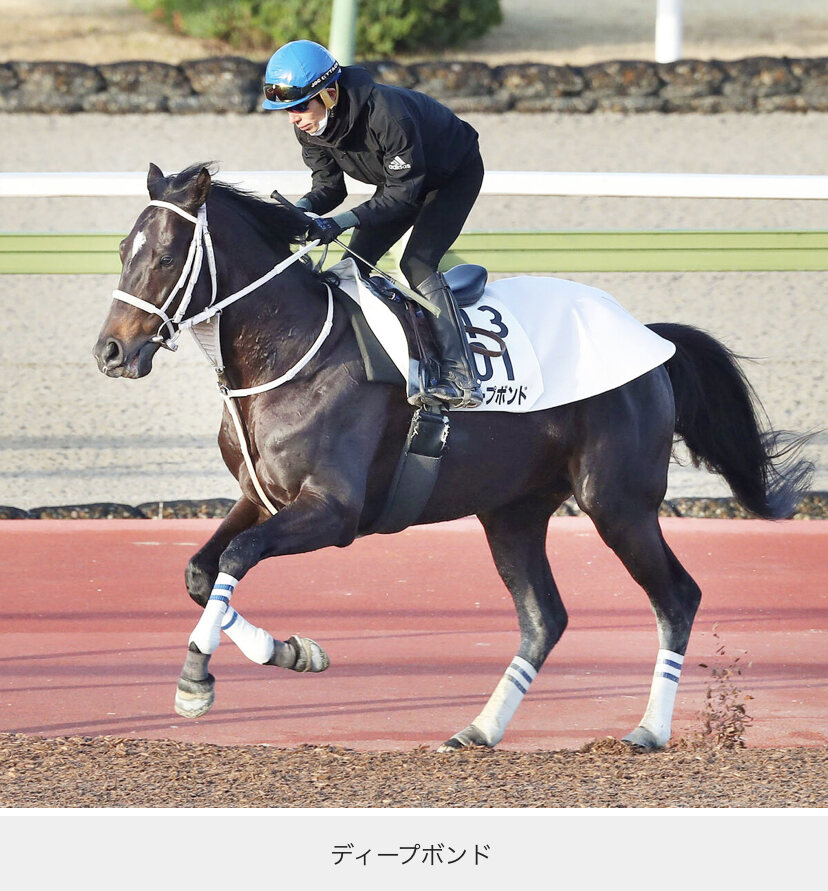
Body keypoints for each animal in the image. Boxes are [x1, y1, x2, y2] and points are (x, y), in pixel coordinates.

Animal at [93, 163, 813, 751]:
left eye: (164, 257)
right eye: (122, 251)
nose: (110, 351)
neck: (292, 348)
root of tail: (651, 340)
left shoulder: (335, 510)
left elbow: (235, 559)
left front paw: (196, 678)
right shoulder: (260, 496)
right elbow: (201, 570)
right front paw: (294, 652)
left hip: (617, 503)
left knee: (678, 597)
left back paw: (648, 731)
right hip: (514, 512)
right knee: (544, 618)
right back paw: (479, 729)